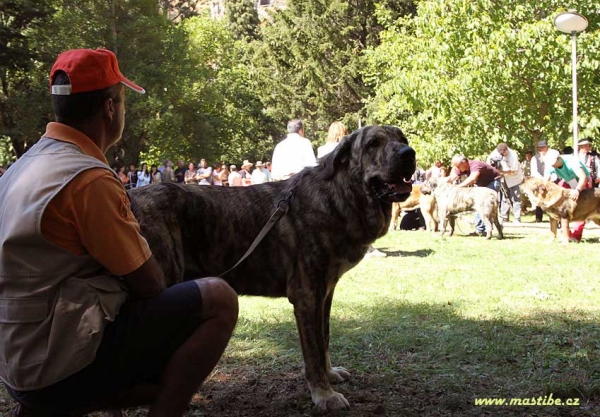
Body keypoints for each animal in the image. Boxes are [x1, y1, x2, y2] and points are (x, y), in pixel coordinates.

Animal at [129, 124, 414, 410]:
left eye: (402, 138)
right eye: (373, 144)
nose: (409, 153)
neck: (339, 196)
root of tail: (129, 195)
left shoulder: (325, 293)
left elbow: (324, 338)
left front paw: (330, 374)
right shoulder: (307, 295)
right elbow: (313, 350)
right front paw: (324, 394)